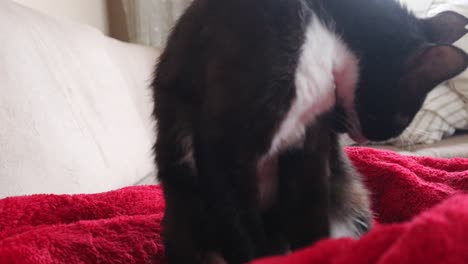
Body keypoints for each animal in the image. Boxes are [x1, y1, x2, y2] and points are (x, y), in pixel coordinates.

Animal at [152, 0, 466, 262]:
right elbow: (240, 228)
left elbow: (309, 213)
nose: (370, 138)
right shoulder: (225, 143)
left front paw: (316, 252)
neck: (322, 21)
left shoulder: (309, 145)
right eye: (401, 118)